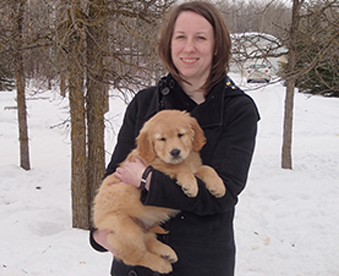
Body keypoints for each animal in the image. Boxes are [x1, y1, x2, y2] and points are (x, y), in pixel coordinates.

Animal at [92, 110, 226, 274]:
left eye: (180, 134)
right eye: (162, 139)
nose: (175, 152)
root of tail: (98, 223)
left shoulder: (195, 167)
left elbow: (206, 168)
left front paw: (218, 186)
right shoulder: (155, 165)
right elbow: (178, 167)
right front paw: (190, 185)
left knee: (147, 240)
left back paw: (166, 252)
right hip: (125, 228)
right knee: (135, 255)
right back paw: (162, 264)